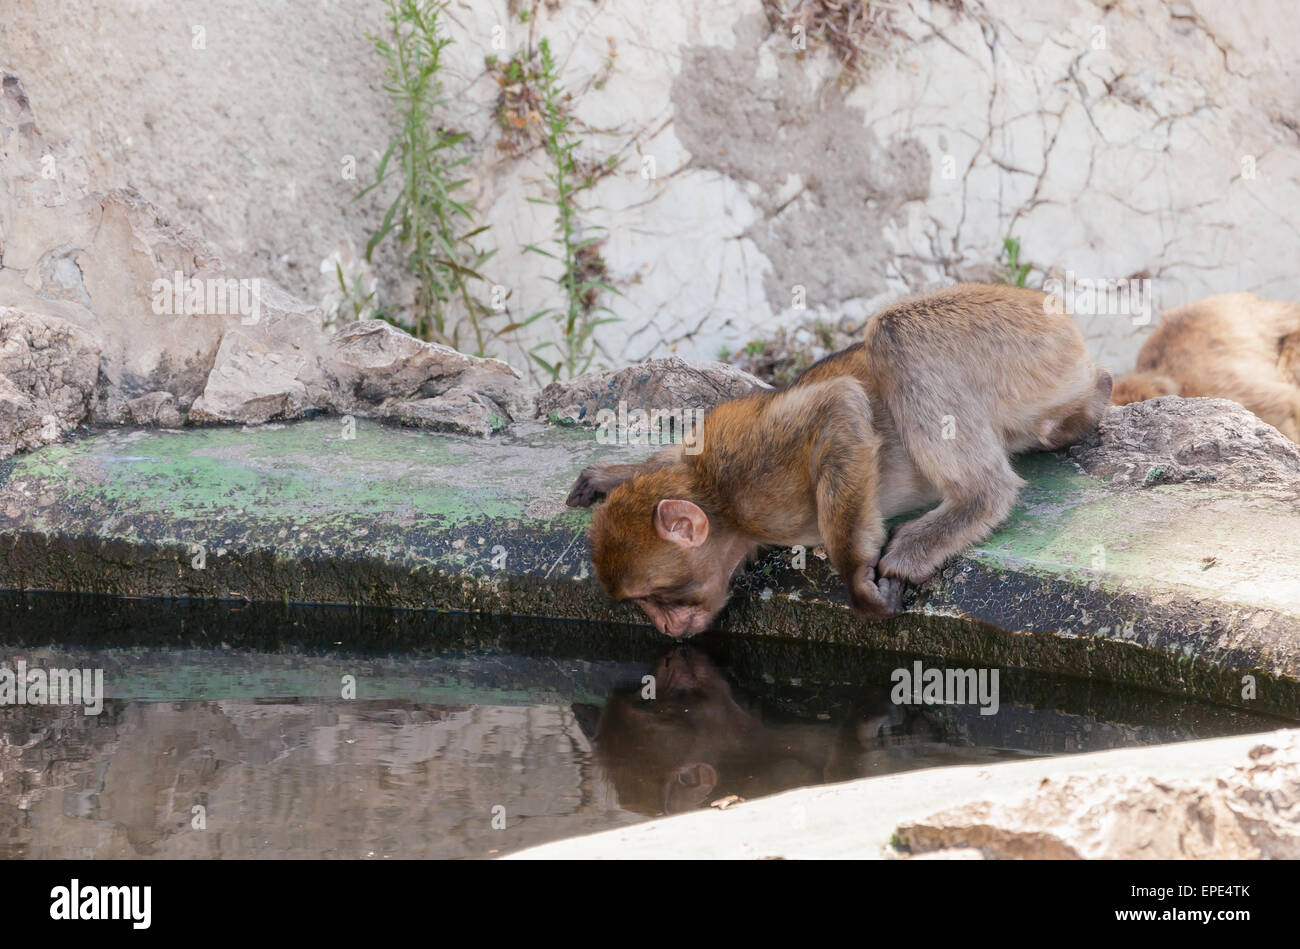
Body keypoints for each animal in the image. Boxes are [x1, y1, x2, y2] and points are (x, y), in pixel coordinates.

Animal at [566, 283, 1113, 638]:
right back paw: (1091, 403)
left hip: (1030, 342)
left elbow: (841, 405)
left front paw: (856, 581)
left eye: (654, 599)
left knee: (897, 335)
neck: (719, 502)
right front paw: (612, 475)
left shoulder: (756, 491)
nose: (662, 627)